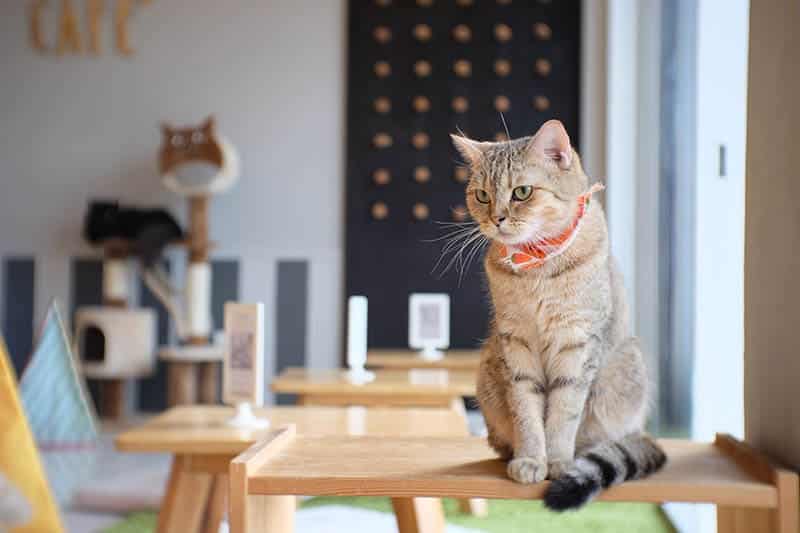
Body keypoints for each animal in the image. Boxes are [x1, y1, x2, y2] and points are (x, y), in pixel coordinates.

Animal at [454, 118, 664, 510]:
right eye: (482, 195)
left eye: (522, 192)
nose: (496, 218)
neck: (538, 265)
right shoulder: (515, 343)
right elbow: (526, 411)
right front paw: (531, 459)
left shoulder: (577, 343)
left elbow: (564, 412)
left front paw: (557, 461)